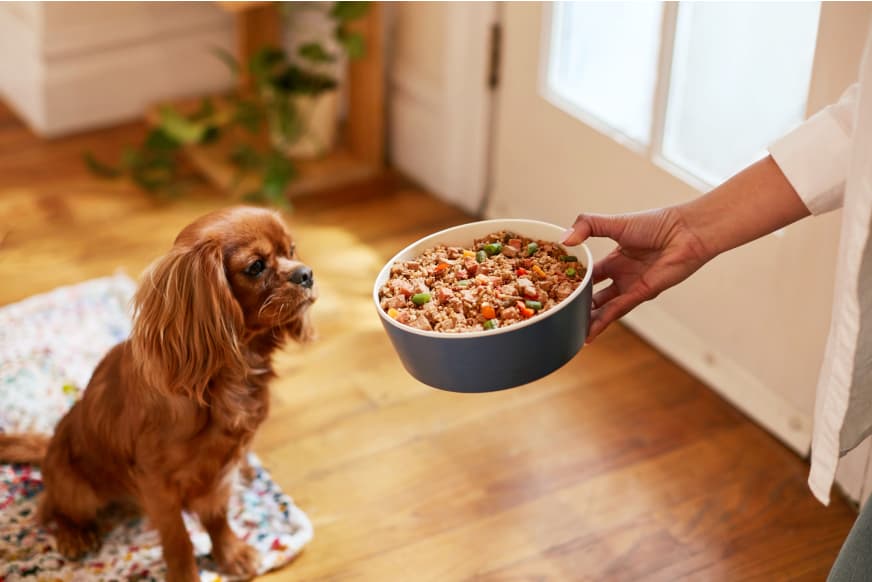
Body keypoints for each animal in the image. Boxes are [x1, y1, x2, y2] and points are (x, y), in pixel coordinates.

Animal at [0, 209, 316, 582]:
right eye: (256, 266)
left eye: (292, 250)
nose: (307, 274)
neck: (229, 378)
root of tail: (49, 445)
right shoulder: (157, 484)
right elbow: (178, 537)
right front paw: (186, 575)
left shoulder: (219, 471)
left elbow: (217, 517)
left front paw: (231, 554)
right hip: (77, 488)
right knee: (53, 507)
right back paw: (74, 536)